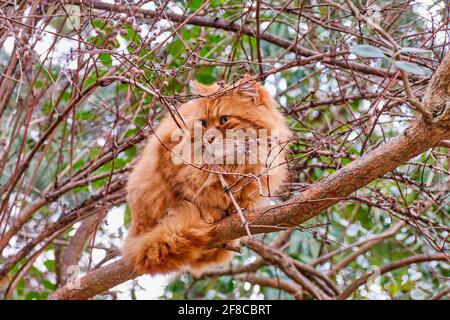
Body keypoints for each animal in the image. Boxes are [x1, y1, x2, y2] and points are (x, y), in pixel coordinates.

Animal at [123, 75, 292, 276]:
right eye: (203, 123)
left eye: (224, 119)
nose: (209, 138)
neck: (231, 164)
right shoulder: (169, 162)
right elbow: (194, 196)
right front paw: (210, 212)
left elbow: (245, 198)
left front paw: (240, 208)